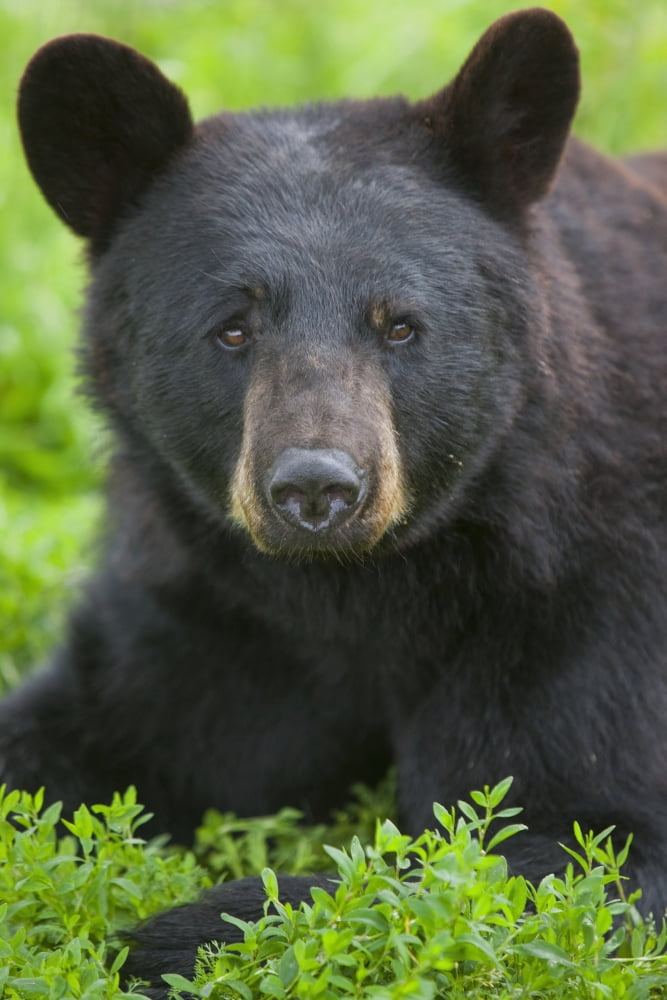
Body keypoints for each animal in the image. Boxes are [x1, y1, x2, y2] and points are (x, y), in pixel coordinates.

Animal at [4, 5, 667, 993]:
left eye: (399, 324)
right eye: (231, 328)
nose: (316, 487)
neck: (351, 588)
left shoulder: (587, 589)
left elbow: (561, 834)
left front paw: (166, 934)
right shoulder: (208, 607)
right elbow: (94, 724)